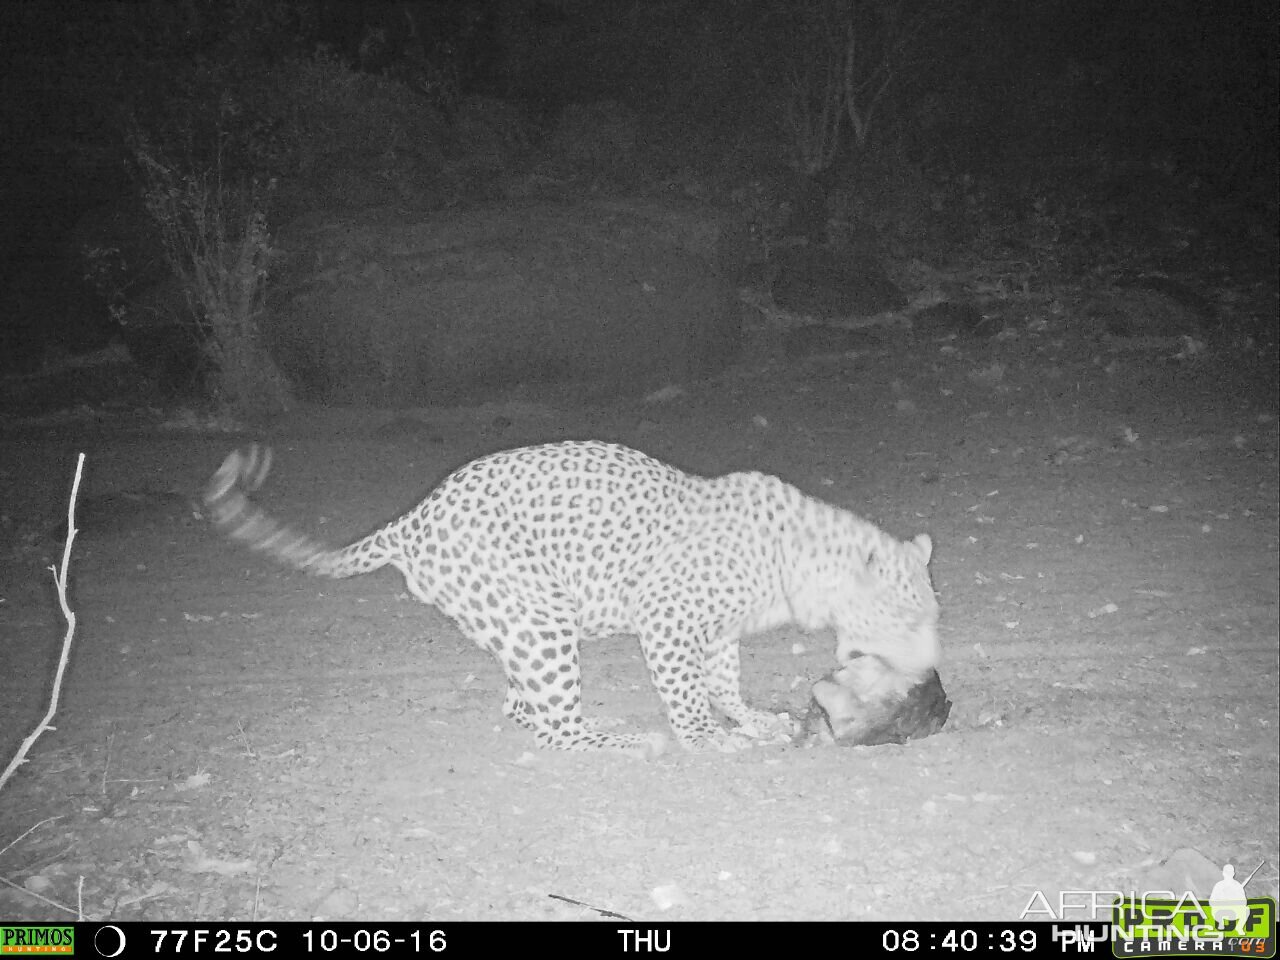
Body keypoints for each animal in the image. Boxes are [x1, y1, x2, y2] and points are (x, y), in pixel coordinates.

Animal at [204, 440, 936, 762]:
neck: (807, 563)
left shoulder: (719, 630)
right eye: (904, 617)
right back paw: (622, 738)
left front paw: (751, 721)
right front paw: (706, 737)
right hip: (542, 620)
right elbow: (687, 692)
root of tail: (411, 519)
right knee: (553, 725)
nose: (929, 672)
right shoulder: (668, 620)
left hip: (520, 624)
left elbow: (724, 681)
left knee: (521, 707)